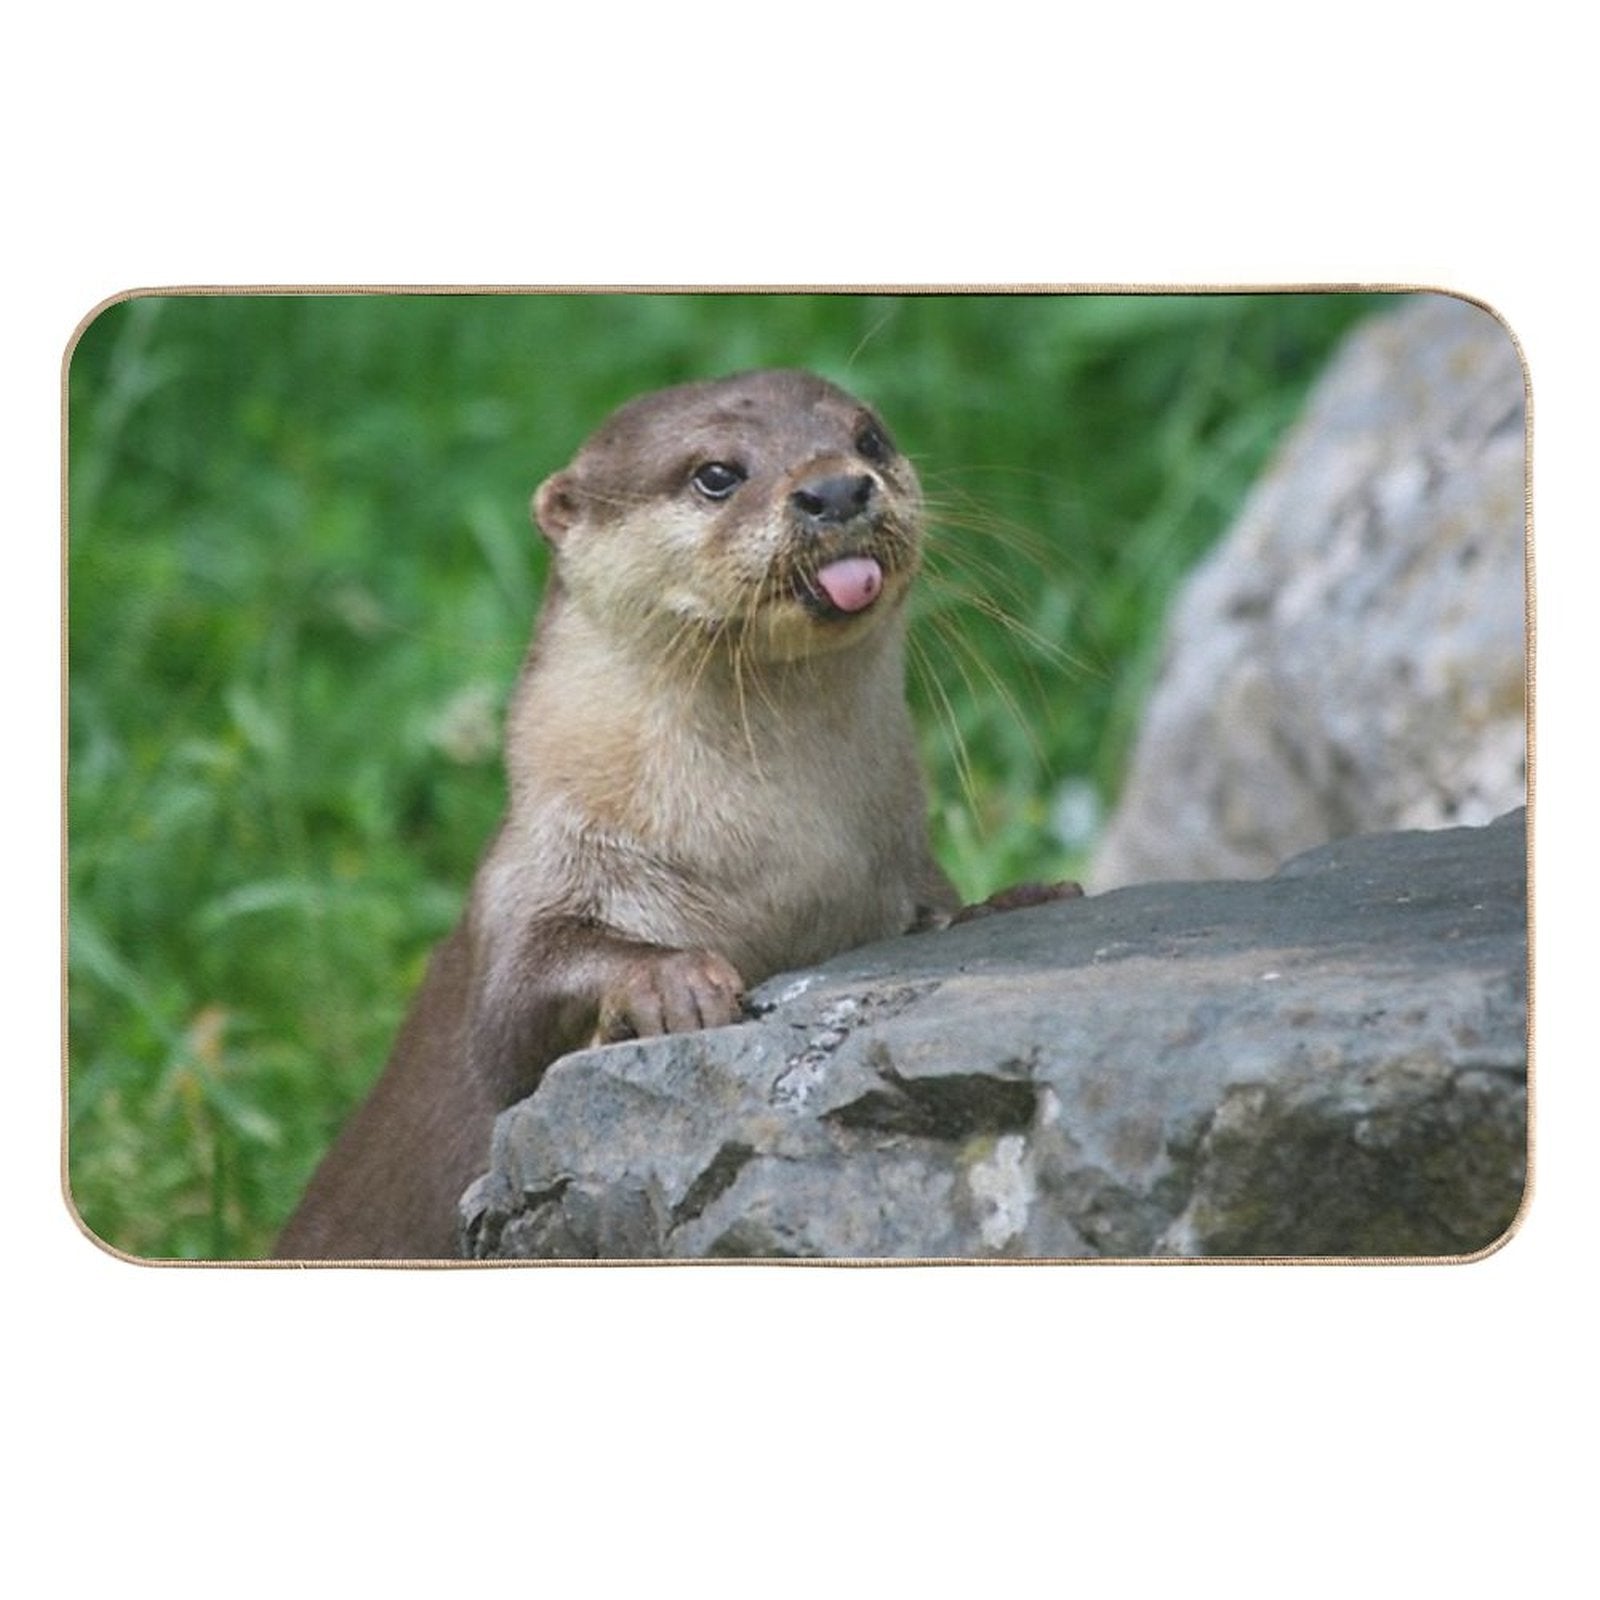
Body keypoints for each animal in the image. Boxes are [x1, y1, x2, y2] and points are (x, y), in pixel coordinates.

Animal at [274, 369, 1071, 1261]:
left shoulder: (899, 870)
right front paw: (669, 981)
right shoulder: (532, 871)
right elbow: (511, 1021)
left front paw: (1013, 902)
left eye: (868, 437)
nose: (835, 488)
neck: (780, 863)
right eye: (716, 474)